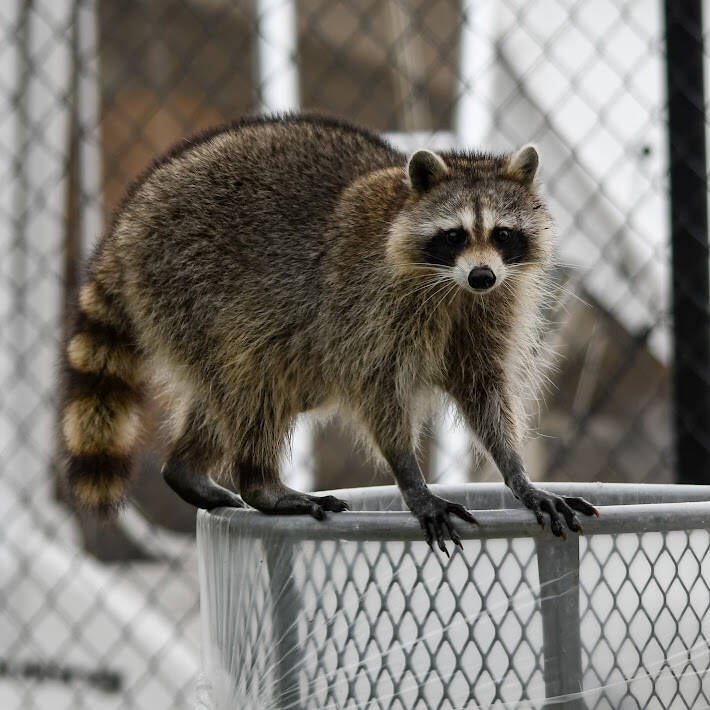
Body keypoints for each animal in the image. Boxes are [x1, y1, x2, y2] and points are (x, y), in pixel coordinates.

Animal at [60, 113, 597, 553]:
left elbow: (483, 387)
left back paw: (189, 469)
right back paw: (260, 483)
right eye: (455, 236)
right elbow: (376, 386)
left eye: (503, 234)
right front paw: (412, 479)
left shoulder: (491, 309)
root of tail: (127, 227)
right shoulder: (367, 307)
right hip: (189, 285)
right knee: (254, 377)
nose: (482, 275)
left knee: (234, 391)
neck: (452, 287)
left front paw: (516, 471)